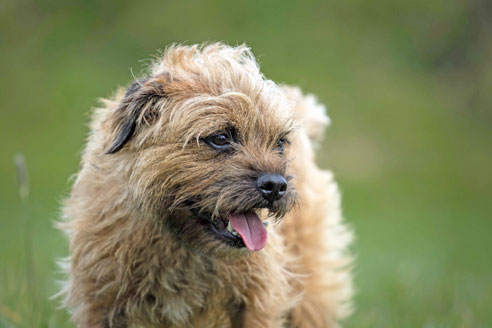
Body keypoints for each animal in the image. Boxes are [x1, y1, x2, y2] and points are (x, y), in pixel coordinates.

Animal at [58, 43, 354, 328]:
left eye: (280, 142)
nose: (275, 186)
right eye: (220, 138)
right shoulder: (99, 302)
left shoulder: (258, 300)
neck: (178, 243)